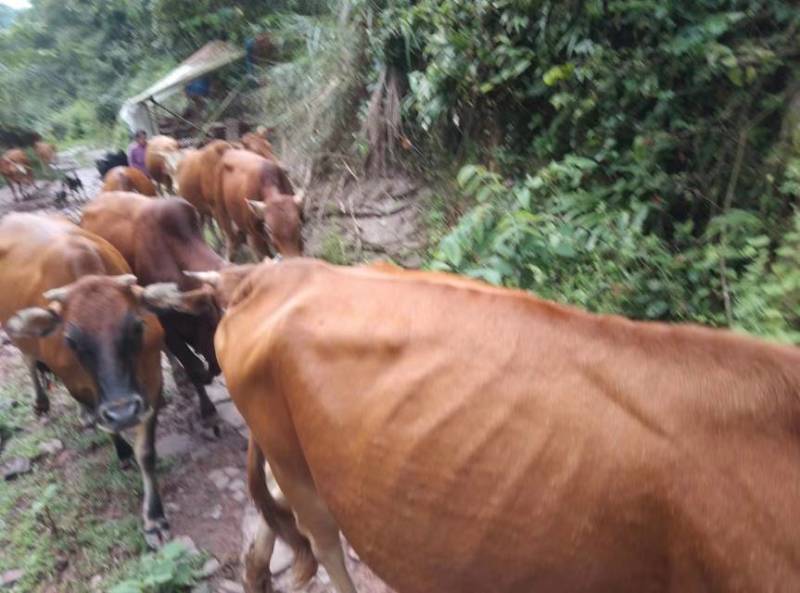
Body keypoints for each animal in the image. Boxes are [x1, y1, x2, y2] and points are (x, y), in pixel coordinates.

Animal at [0, 212, 174, 544]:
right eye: (71, 340)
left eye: (136, 326)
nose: (122, 412)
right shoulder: (78, 383)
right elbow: (107, 423)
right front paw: (121, 450)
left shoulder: (151, 380)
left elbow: (146, 453)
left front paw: (155, 517)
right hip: (20, 338)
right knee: (29, 360)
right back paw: (44, 403)